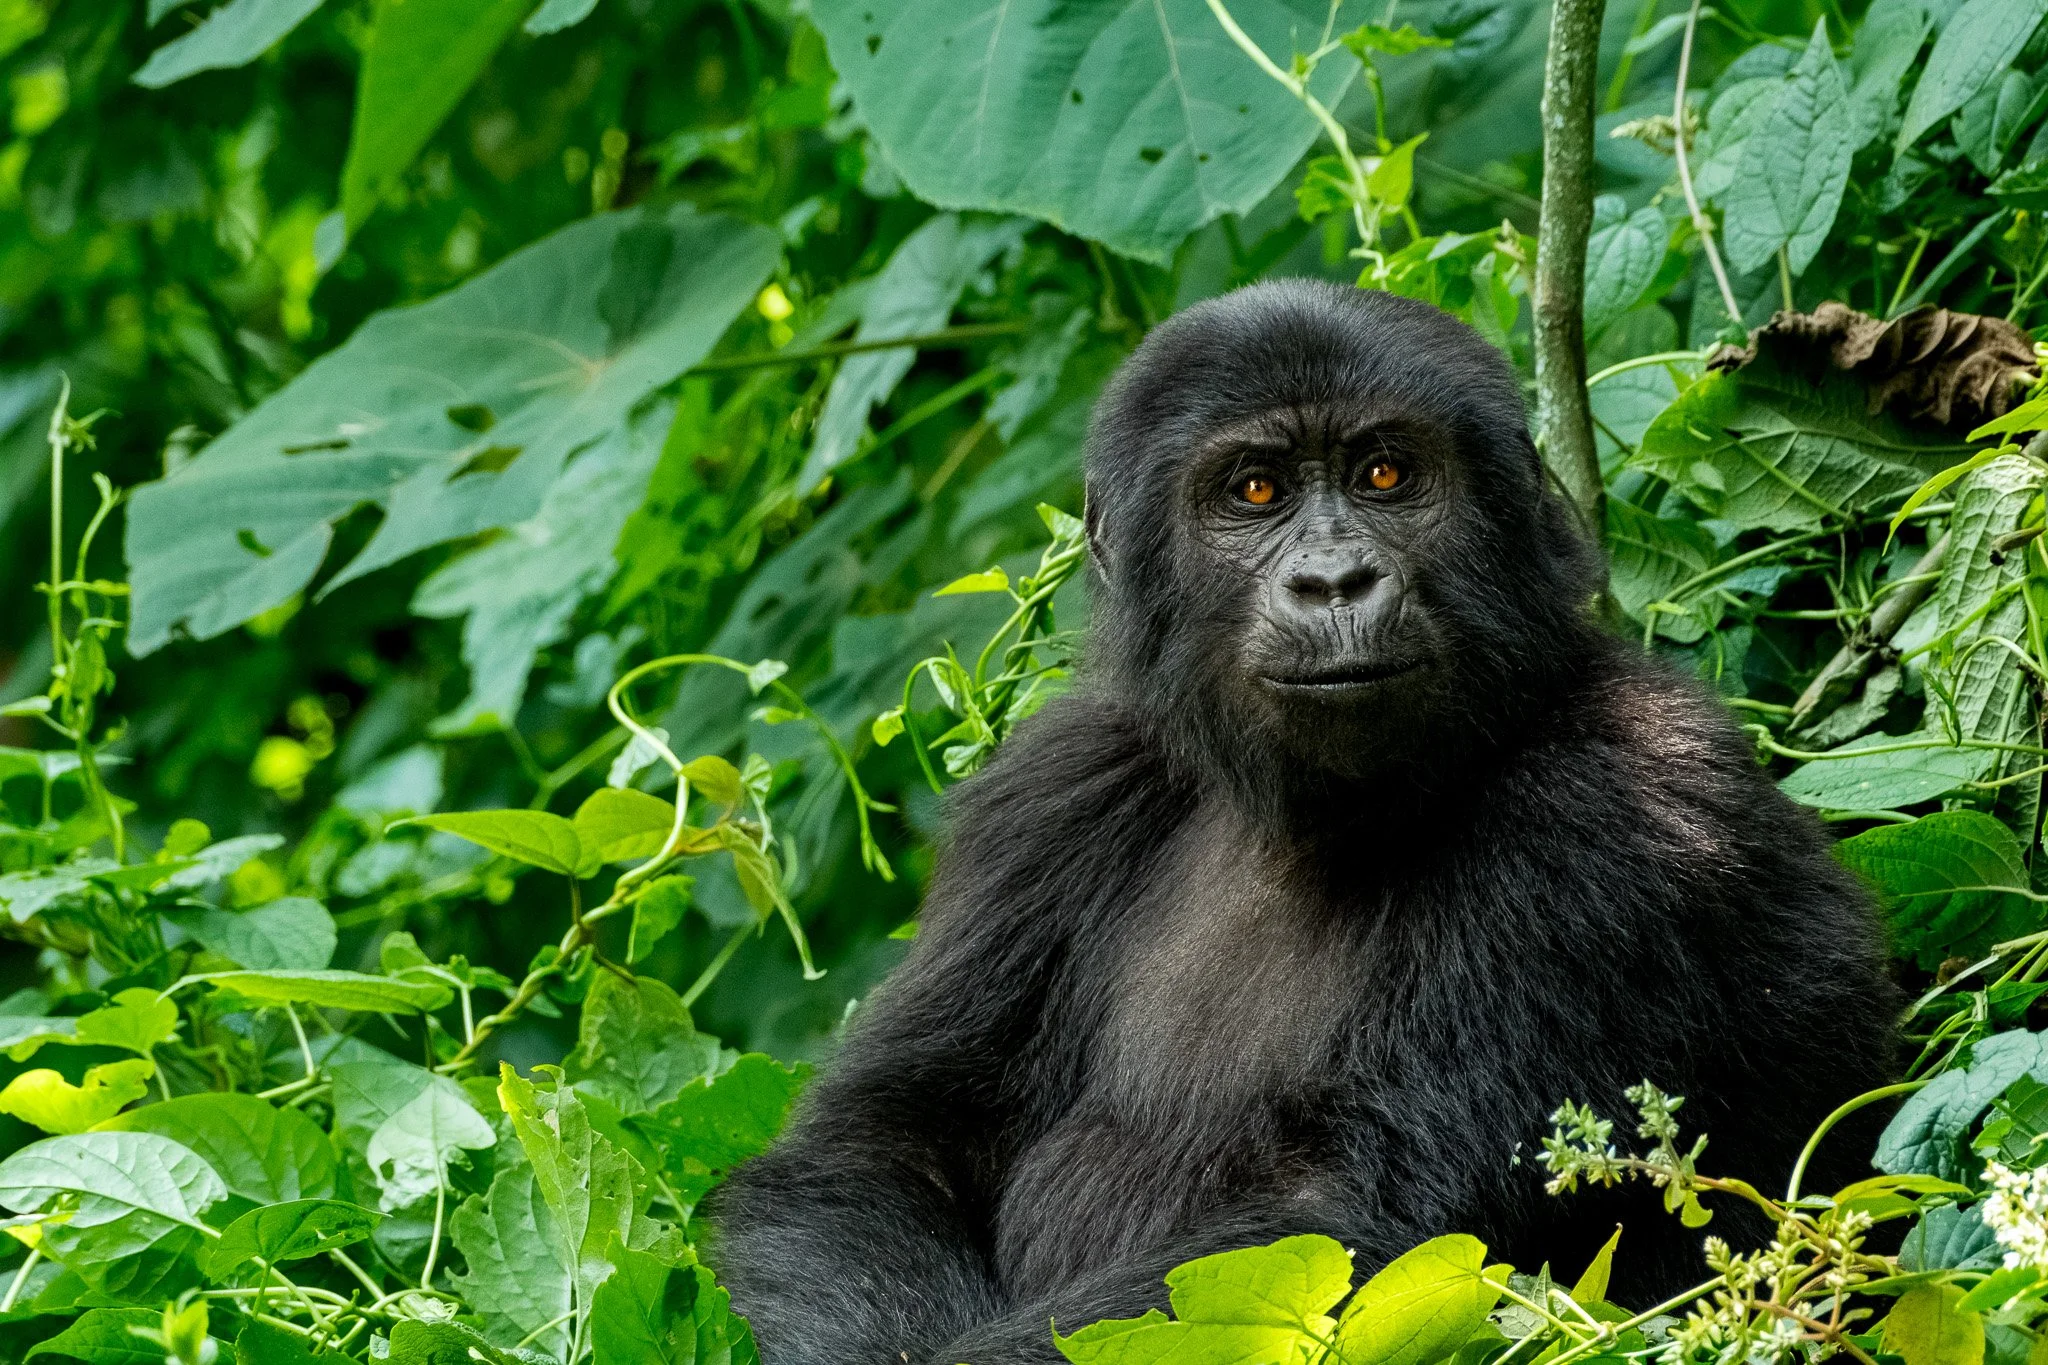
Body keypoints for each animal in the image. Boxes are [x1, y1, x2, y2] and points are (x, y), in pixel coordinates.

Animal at [710, 280, 1897, 1365]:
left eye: (1384, 473)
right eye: (1255, 489)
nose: (1334, 580)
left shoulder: (1625, 804)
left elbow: (1348, 1229)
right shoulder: (1052, 794)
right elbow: (876, 1154)